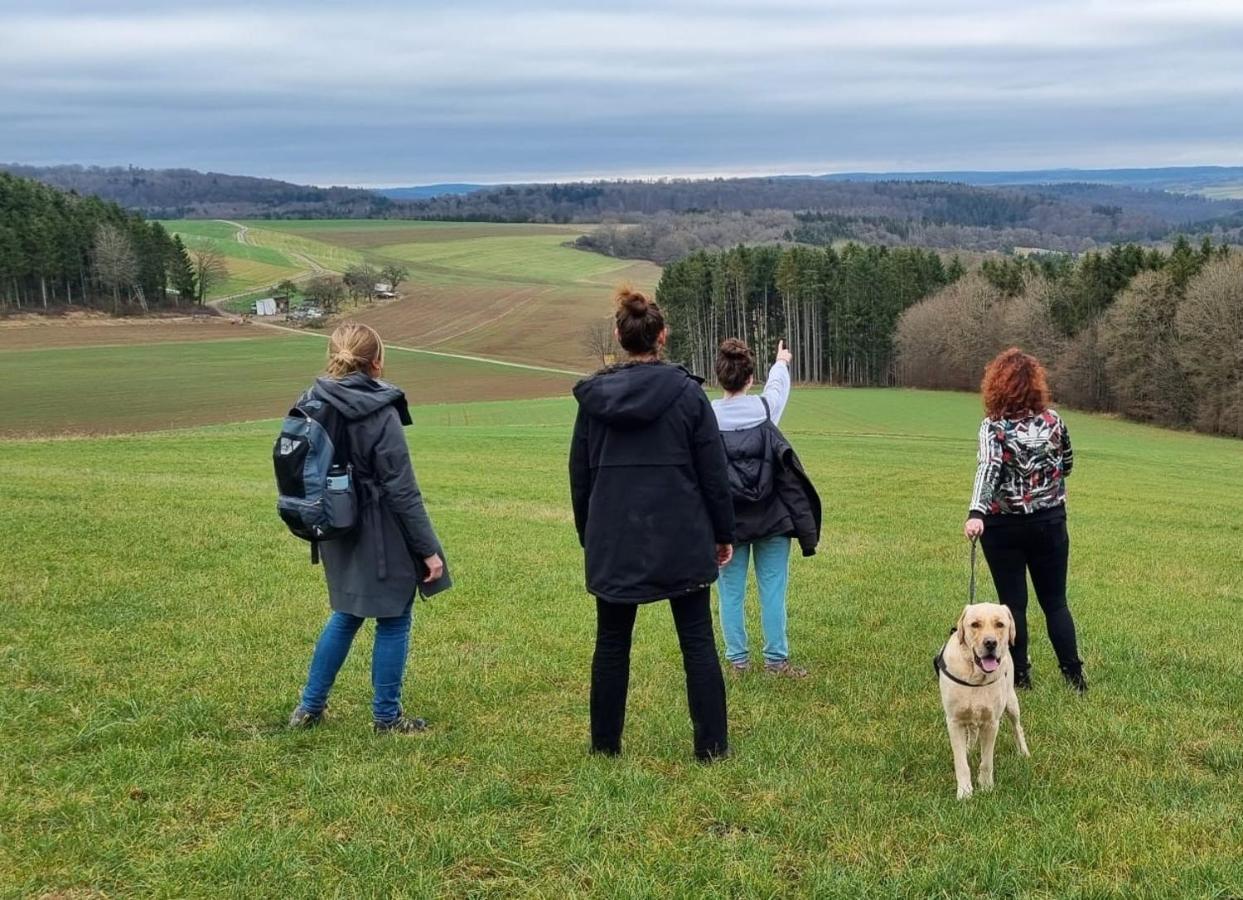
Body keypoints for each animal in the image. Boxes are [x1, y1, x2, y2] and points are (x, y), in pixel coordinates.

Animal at [934, 601, 1029, 795]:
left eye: (1000, 624)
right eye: (975, 624)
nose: (990, 643)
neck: (975, 677)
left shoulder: (991, 723)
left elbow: (987, 761)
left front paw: (986, 787)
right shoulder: (954, 721)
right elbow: (961, 763)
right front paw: (965, 791)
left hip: (1011, 702)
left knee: (1018, 727)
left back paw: (1024, 752)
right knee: (972, 732)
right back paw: (969, 749)